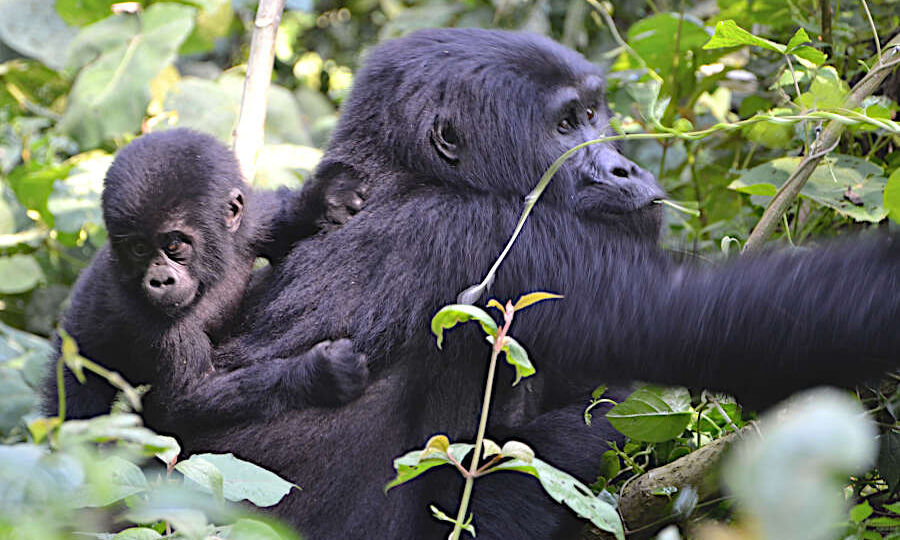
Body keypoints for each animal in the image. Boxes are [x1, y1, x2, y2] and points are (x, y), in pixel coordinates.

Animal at [44, 127, 368, 434]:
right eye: (138, 249)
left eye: (174, 245)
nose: (159, 281)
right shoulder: (148, 319)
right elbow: (187, 398)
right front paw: (318, 374)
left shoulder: (249, 224)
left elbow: (280, 215)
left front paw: (327, 199)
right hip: (72, 361)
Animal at [193, 28, 896, 540]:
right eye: (564, 127)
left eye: (592, 114)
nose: (624, 167)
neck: (403, 173)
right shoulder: (486, 235)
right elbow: (725, 324)